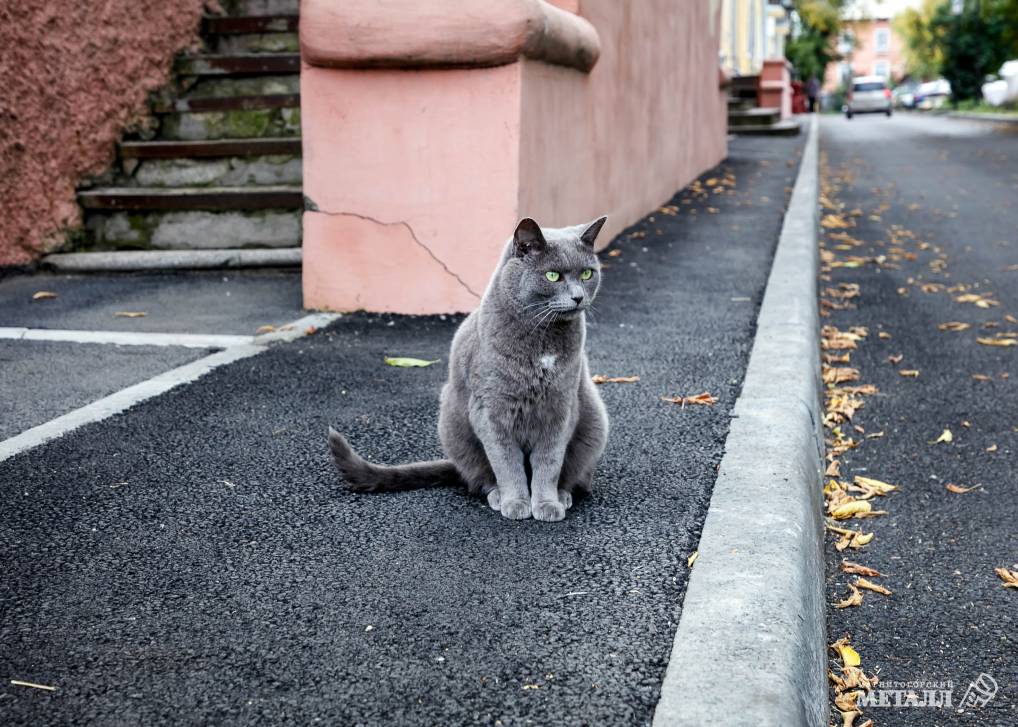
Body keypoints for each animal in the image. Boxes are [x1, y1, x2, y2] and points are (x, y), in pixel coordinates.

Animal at [329, 214, 606, 521]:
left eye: (587, 274)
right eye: (553, 276)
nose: (579, 296)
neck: (542, 338)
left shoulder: (561, 407)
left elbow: (549, 462)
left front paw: (546, 504)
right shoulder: (490, 409)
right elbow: (506, 462)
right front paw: (516, 502)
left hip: (594, 419)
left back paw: (563, 495)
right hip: (452, 423)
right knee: (480, 477)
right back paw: (497, 495)